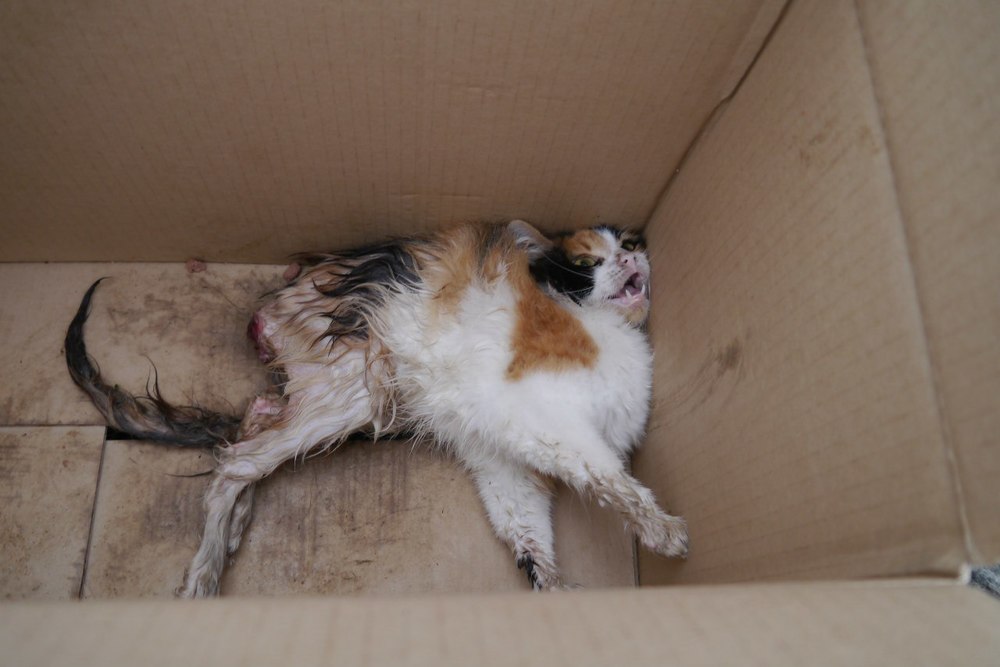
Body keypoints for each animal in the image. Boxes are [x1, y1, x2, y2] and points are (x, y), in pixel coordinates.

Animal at [65, 219, 688, 597]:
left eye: (627, 243)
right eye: (588, 262)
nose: (633, 252)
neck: (602, 328)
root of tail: (272, 301)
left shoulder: (501, 459)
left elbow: (526, 531)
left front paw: (555, 594)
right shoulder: (547, 424)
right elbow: (612, 480)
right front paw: (665, 533)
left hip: (333, 394)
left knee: (250, 426)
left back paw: (237, 523)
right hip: (359, 386)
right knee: (234, 461)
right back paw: (205, 571)